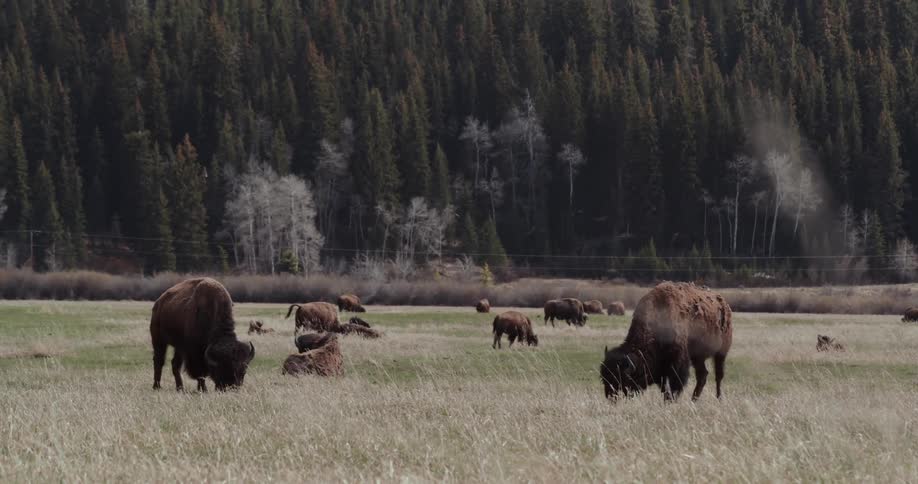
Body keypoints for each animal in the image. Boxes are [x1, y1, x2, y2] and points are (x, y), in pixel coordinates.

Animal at [600, 282, 733, 402]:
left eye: (623, 379)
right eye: (604, 377)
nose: (610, 397)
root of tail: (724, 304)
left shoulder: (677, 363)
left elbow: (675, 384)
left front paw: (671, 400)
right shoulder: (662, 367)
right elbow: (664, 387)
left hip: (721, 353)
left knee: (718, 375)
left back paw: (718, 398)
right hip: (698, 357)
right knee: (703, 375)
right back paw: (693, 400)